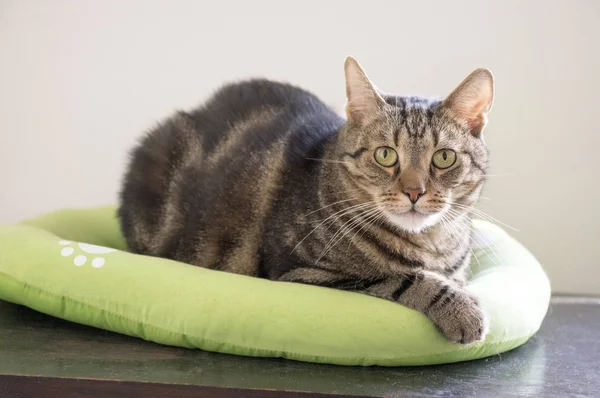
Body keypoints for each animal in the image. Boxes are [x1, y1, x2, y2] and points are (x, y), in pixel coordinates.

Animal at [119, 56, 494, 346]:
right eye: (386, 155)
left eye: (443, 158)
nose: (415, 192)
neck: (430, 245)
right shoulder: (308, 275)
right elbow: (402, 278)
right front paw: (462, 310)